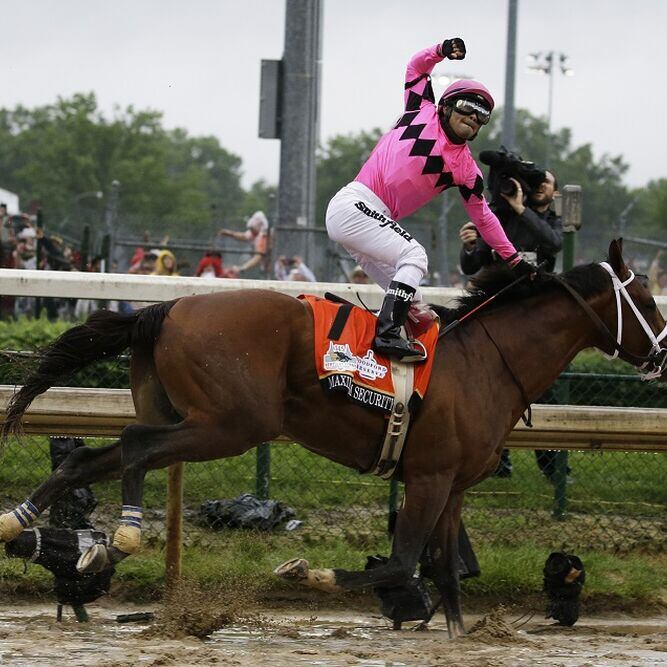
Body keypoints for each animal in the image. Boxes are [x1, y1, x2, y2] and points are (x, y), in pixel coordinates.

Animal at [1, 241, 667, 636]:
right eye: (648, 297)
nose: (663, 353)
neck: (486, 361)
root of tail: (164, 310)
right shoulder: (428, 478)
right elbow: (401, 563)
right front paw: (307, 575)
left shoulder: (452, 485)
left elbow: (446, 570)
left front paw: (455, 633)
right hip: (228, 424)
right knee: (137, 445)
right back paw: (123, 533)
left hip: (187, 416)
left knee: (89, 458)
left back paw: (30, 526)